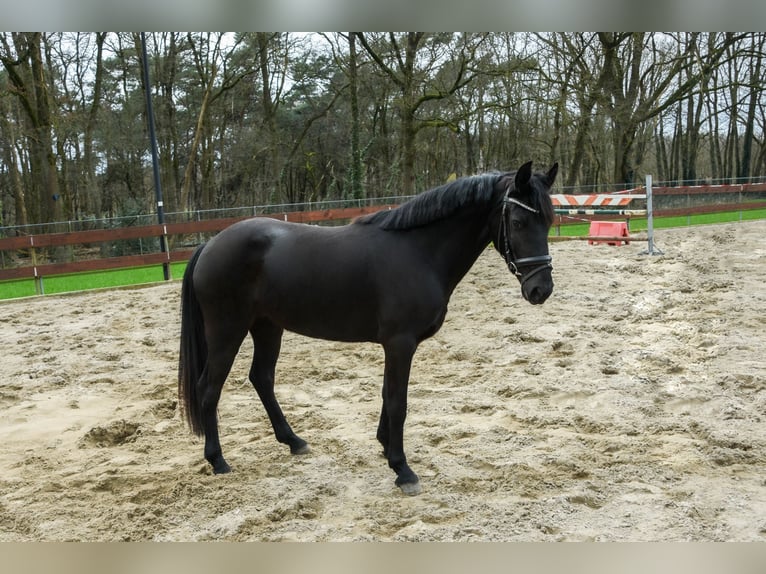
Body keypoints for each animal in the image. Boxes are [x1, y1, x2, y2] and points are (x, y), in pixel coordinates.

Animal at [178, 160, 558, 495]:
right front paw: (402, 469)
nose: (541, 289)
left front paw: (385, 447)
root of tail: (210, 244)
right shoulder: (400, 342)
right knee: (209, 388)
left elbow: (386, 395)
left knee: (262, 378)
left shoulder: (395, 345)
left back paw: (294, 441)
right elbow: (398, 401)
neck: (418, 252)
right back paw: (218, 460)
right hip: (227, 330)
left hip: (268, 327)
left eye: (549, 221)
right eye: (519, 222)